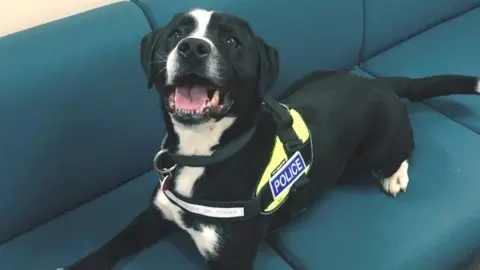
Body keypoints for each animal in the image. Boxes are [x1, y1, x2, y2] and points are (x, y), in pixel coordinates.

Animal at [61, 8, 480, 270]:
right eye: (175, 33)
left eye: (231, 41)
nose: (192, 47)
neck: (204, 152)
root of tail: (375, 83)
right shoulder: (157, 212)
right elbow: (110, 246)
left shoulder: (230, 259)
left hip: (380, 147)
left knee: (404, 149)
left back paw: (396, 176)